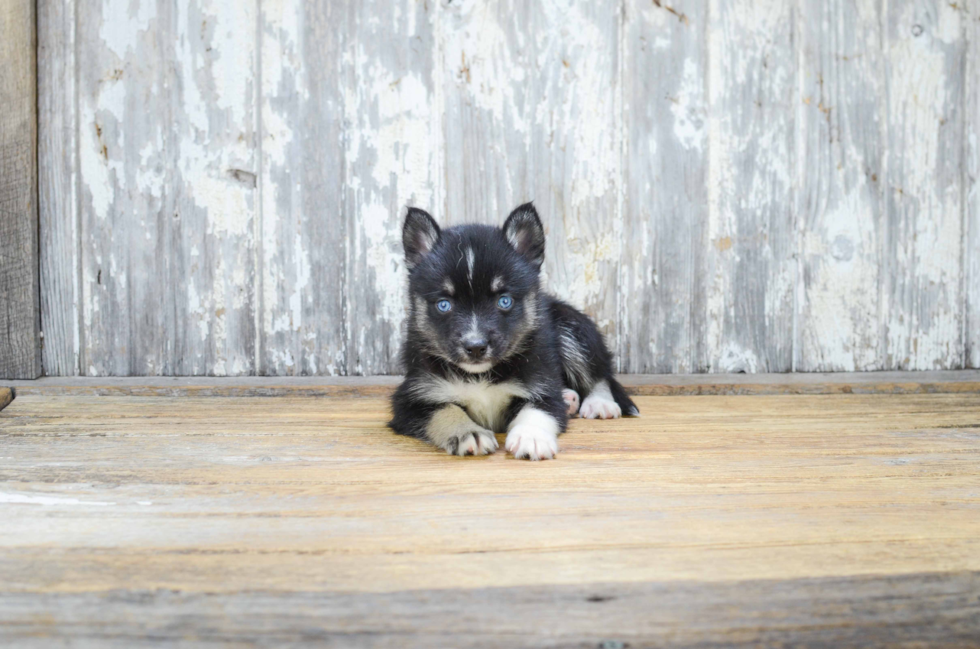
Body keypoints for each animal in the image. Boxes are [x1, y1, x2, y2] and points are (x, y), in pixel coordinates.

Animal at [386, 202, 640, 460]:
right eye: (444, 304)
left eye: (504, 301)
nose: (475, 347)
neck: (479, 376)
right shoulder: (413, 399)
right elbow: (445, 410)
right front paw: (468, 432)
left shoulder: (542, 384)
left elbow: (538, 409)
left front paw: (532, 437)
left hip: (572, 329)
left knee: (600, 375)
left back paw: (599, 402)